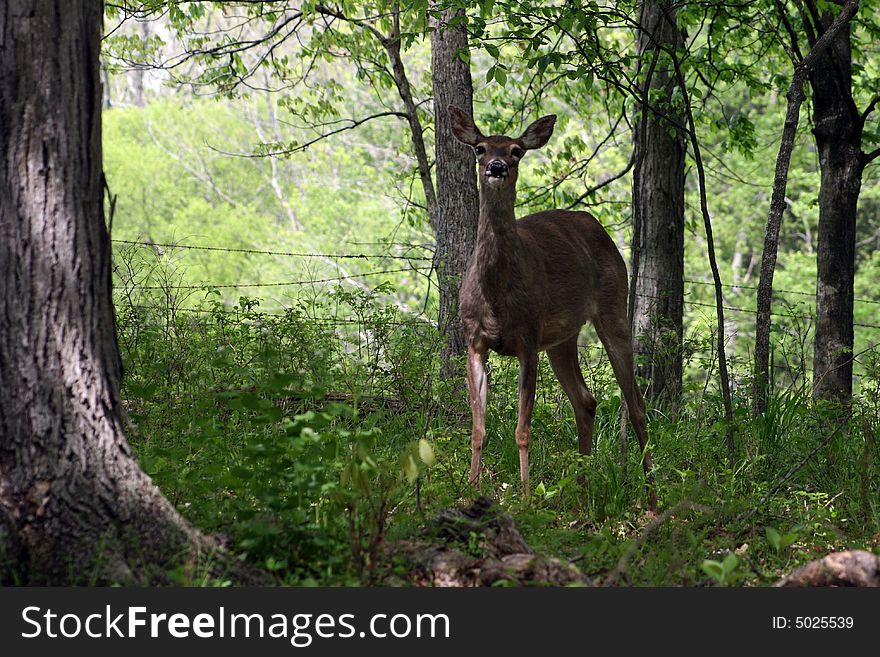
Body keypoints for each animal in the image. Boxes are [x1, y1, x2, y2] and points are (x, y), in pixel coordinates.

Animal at [450, 105, 656, 510]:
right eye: (480, 148)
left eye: (516, 150)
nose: (496, 166)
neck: (497, 295)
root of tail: (598, 228)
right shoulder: (475, 342)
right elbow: (478, 429)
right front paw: (471, 492)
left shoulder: (528, 340)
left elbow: (522, 429)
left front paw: (527, 497)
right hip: (563, 337)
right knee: (586, 400)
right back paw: (582, 489)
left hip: (612, 307)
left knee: (636, 404)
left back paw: (654, 498)